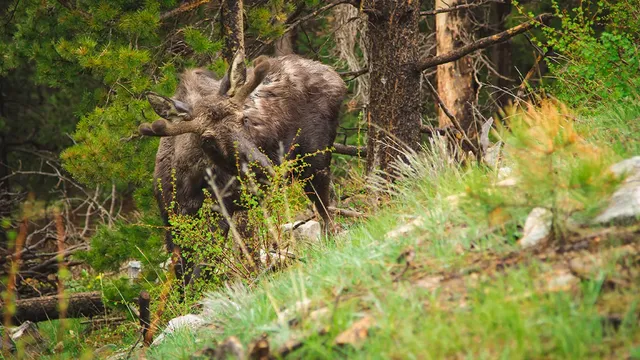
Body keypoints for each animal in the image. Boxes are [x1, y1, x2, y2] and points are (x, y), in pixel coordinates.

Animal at [141, 52, 344, 278]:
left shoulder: (222, 211)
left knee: (326, 212)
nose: (263, 169)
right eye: (207, 140)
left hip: (315, 161)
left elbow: (204, 270)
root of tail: (335, 76)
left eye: (244, 119)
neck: (188, 185)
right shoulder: (172, 225)